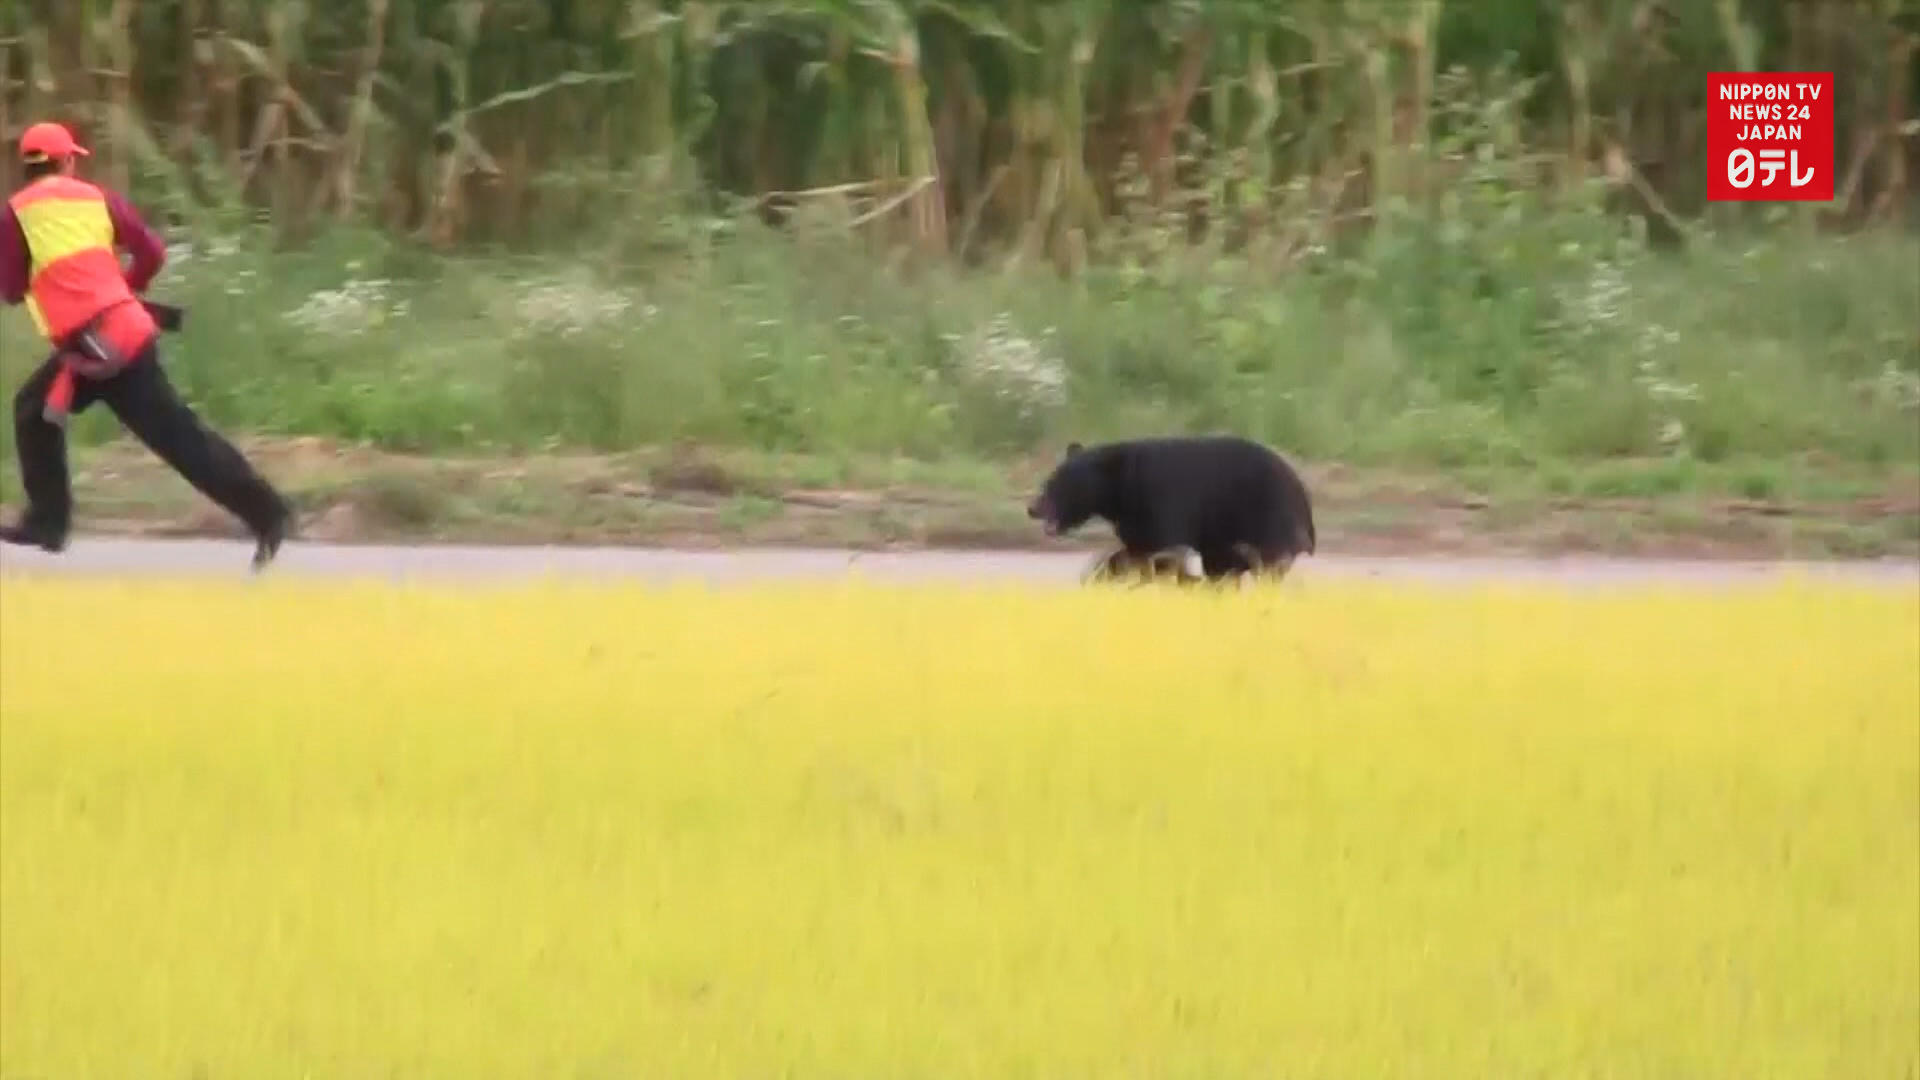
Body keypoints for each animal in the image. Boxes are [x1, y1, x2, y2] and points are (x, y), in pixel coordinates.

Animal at [1025, 435, 1316, 585]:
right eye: (1048, 481)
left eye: (1058, 483)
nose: (1032, 508)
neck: (1121, 489)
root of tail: (1302, 490)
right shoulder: (1135, 517)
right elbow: (1138, 548)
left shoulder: (1162, 500)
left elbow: (1162, 545)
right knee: (1224, 565)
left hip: (1267, 516)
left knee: (1266, 562)